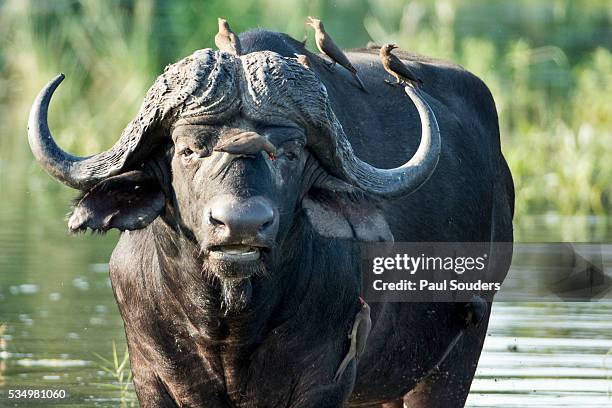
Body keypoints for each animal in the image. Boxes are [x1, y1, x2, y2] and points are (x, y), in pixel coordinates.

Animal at [29, 29, 516, 408]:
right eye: (188, 149)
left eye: (289, 152)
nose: (241, 225)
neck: (228, 325)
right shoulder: (152, 377)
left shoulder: (326, 381)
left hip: (456, 353)